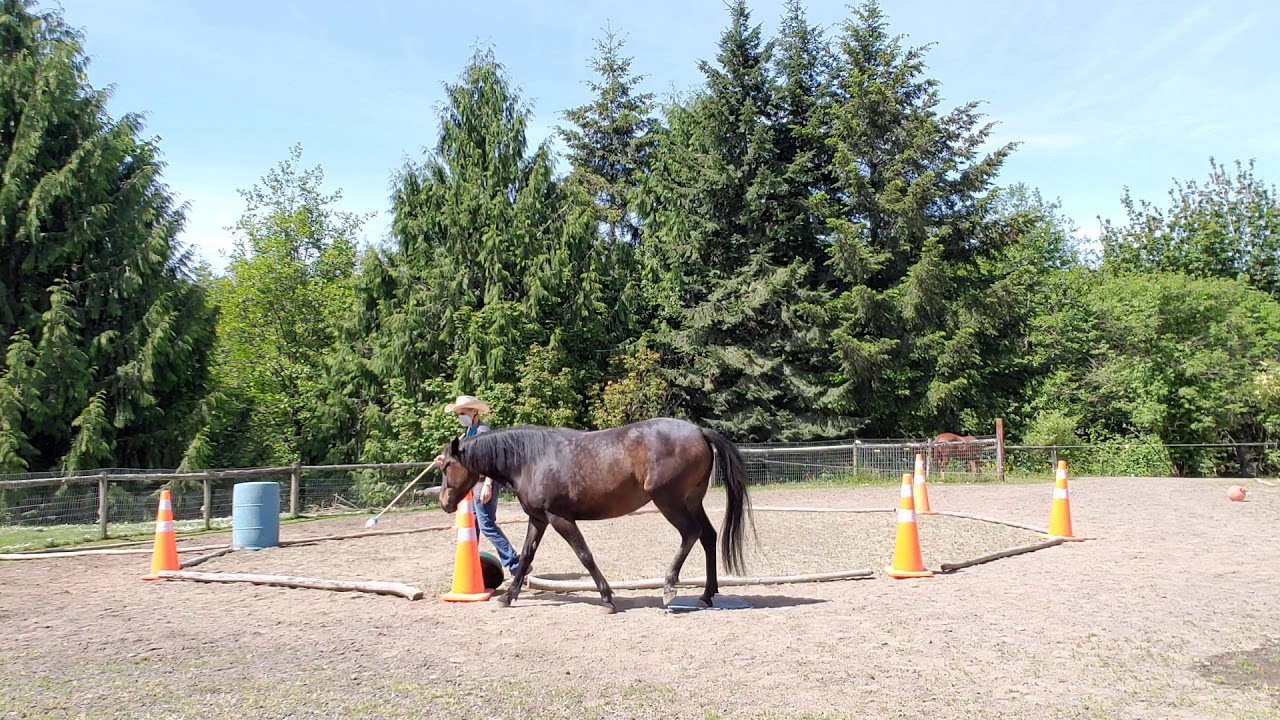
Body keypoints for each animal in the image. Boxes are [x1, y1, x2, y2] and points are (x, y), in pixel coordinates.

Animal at [436, 417, 755, 613]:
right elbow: (526, 556)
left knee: (691, 534)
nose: (444, 503)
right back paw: (706, 594)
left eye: (446, 465)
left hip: (669, 501)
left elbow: (585, 555)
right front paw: (507, 596)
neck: (530, 459)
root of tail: (699, 431)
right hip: (691, 502)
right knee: (708, 537)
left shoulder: (560, 518)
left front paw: (607, 598)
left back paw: (669, 586)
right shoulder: (538, 519)